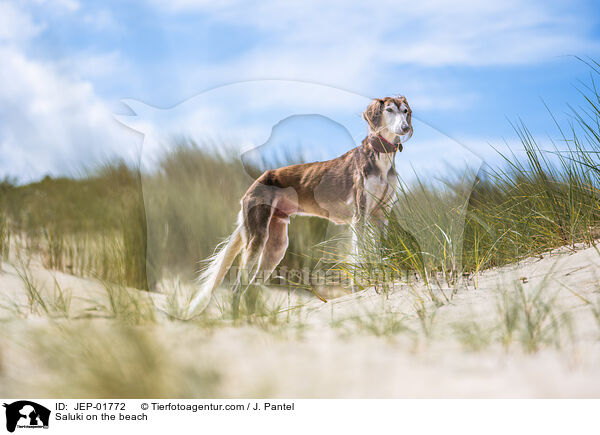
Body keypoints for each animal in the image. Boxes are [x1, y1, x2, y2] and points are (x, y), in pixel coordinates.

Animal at [191, 96, 412, 316]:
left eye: (405, 111)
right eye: (389, 110)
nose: (405, 127)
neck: (380, 159)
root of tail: (255, 184)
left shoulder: (382, 216)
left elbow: (380, 251)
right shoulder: (360, 217)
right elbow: (359, 257)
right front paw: (358, 290)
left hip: (277, 246)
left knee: (251, 287)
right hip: (257, 237)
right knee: (238, 287)